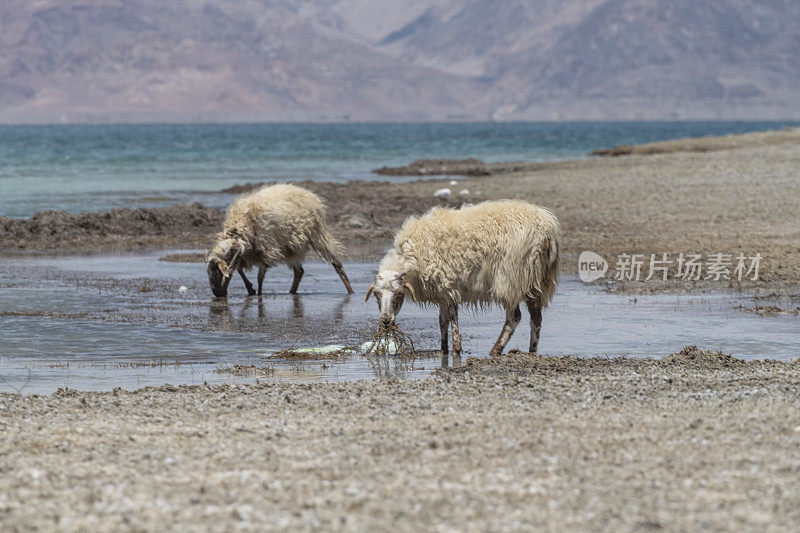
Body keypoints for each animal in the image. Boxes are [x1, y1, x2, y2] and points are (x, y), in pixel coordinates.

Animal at [206, 185, 354, 298]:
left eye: (216, 274)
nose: (218, 294)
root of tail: (309, 194)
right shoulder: (246, 253)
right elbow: (239, 270)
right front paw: (251, 289)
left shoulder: (266, 249)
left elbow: (259, 277)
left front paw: (258, 294)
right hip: (291, 247)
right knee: (299, 271)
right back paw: (292, 292)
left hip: (318, 235)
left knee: (336, 263)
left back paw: (350, 290)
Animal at [366, 198, 560, 354]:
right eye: (376, 294)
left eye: (399, 294)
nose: (385, 321)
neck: (412, 257)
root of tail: (546, 233)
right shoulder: (442, 291)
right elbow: (442, 321)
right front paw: (443, 349)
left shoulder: (449, 286)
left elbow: (452, 318)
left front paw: (456, 349)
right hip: (536, 281)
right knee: (536, 318)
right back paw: (532, 350)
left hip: (510, 279)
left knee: (514, 317)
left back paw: (495, 350)